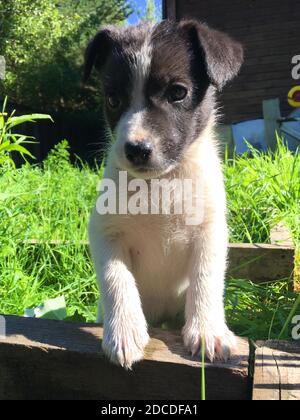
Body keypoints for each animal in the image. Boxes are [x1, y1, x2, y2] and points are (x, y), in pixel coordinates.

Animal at [84, 19, 244, 368]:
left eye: (178, 93)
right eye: (113, 99)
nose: (136, 149)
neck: (161, 184)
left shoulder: (210, 231)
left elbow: (206, 278)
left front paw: (208, 330)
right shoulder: (105, 232)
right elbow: (116, 279)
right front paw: (124, 332)